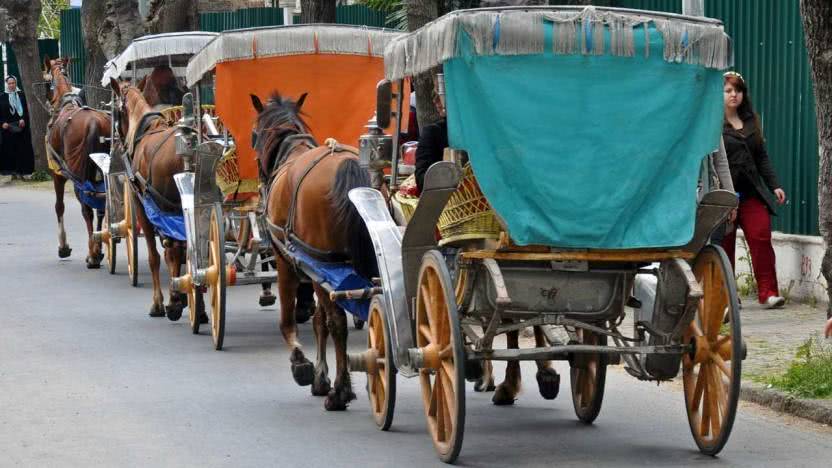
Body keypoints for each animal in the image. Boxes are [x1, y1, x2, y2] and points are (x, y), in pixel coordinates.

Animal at [44, 56, 112, 266]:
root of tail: (93, 123)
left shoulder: (57, 173)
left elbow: (59, 207)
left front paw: (63, 247)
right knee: (101, 206)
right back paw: (98, 246)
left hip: (78, 174)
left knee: (87, 209)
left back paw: (93, 254)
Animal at [107, 78, 190, 320]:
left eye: (114, 109)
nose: (119, 142)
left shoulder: (142, 207)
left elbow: (155, 256)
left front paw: (160, 302)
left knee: (177, 250)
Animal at [249, 92, 376, 410]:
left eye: (253, 135)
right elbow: (319, 322)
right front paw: (321, 376)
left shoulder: (286, 261)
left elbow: (289, 320)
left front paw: (302, 364)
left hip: (322, 263)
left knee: (338, 322)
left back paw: (341, 391)